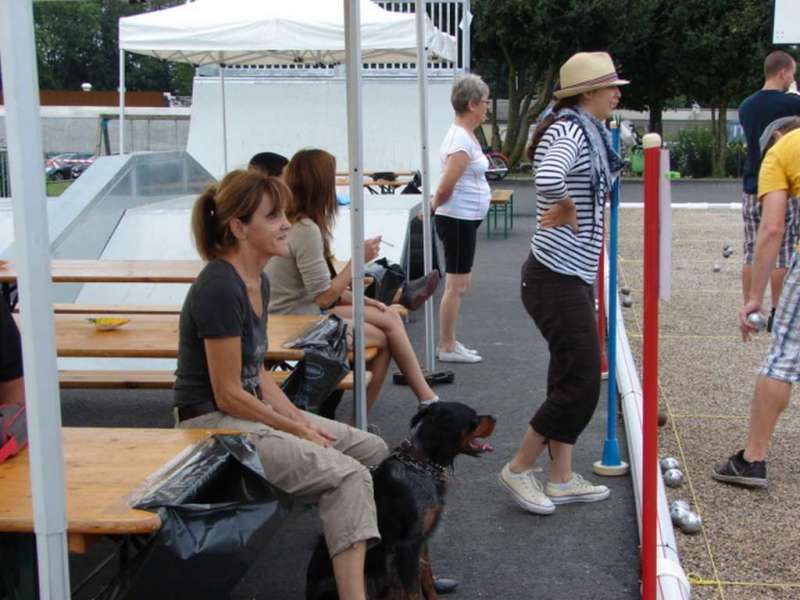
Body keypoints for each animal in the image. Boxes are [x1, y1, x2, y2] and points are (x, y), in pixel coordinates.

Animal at [306, 400, 494, 596]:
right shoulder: (407, 545)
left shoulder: (421, 538)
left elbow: (426, 577)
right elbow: (414, 591)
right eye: (474, 418)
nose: (495, 418)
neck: (421, 466)